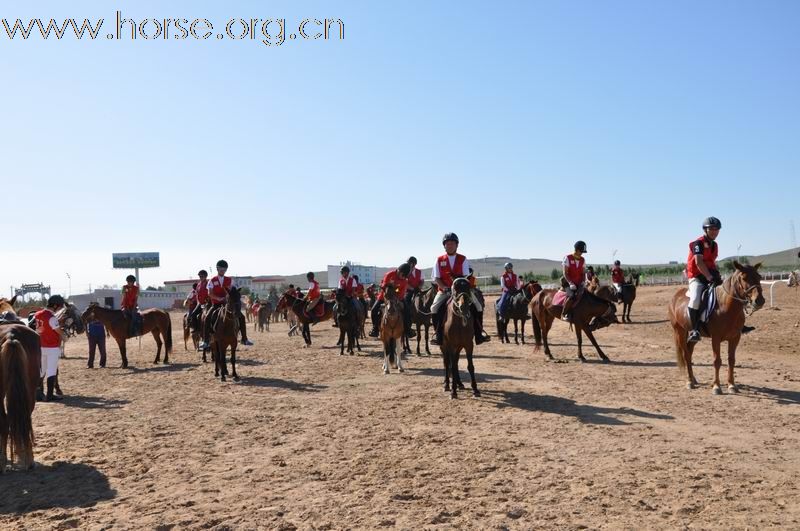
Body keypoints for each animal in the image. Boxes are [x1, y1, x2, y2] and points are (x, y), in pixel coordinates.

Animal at [664, 262, 764, 394]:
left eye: (759, 276)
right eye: (744, 278)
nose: (759, 300)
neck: (726, 306)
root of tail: (675, 297)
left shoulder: (735, 337)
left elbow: (731, 360)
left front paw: (731, 385)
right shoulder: (716, 338)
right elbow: (717, 361)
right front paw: (716, 386)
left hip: (693, 336)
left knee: (689, 352)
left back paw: (693, 379)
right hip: (679, 331)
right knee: (686, 355)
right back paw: (689, 381)